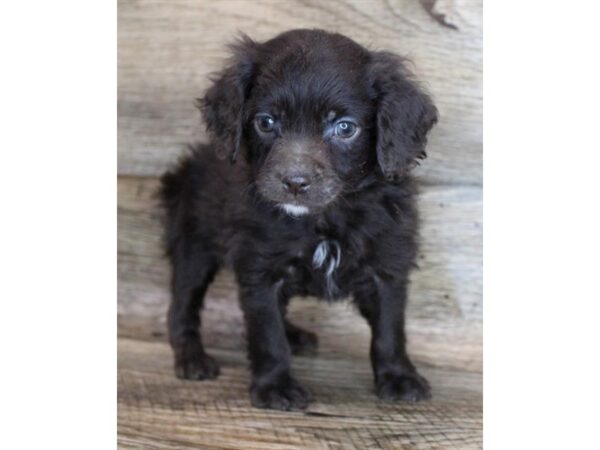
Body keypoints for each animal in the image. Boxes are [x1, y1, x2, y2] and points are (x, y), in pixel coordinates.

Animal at [162, 27, 438, 408]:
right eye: (265, 122)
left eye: (345, 128)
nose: (294, 182)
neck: (323, 219)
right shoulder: (261, 269)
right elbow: (267, 333)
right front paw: (275, 386)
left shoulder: (388, 264)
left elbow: (390, 329)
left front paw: (399, 378)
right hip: (193, 244)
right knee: (183, 304)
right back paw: (192, 358)